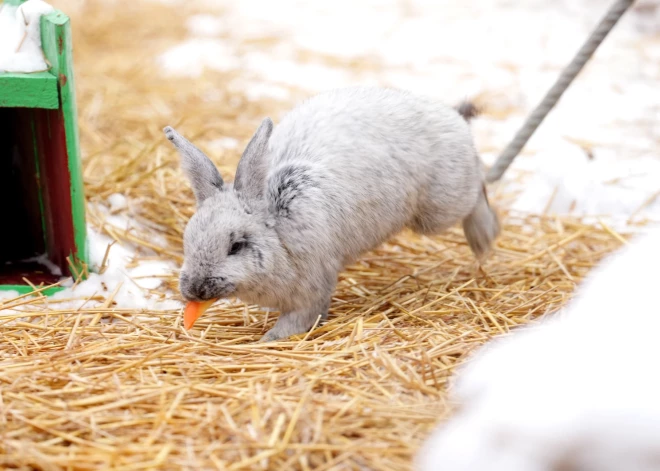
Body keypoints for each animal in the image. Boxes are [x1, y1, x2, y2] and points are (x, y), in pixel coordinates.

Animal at [165, 85, 500, 342]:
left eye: (235, 246)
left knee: (477, 186)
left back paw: (484, 237)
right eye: (187, 240)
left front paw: (269, 340)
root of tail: (451, 116)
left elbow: (299, 319)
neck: (278, 231)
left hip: (440, 207)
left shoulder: (311, 288)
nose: (194, 289)